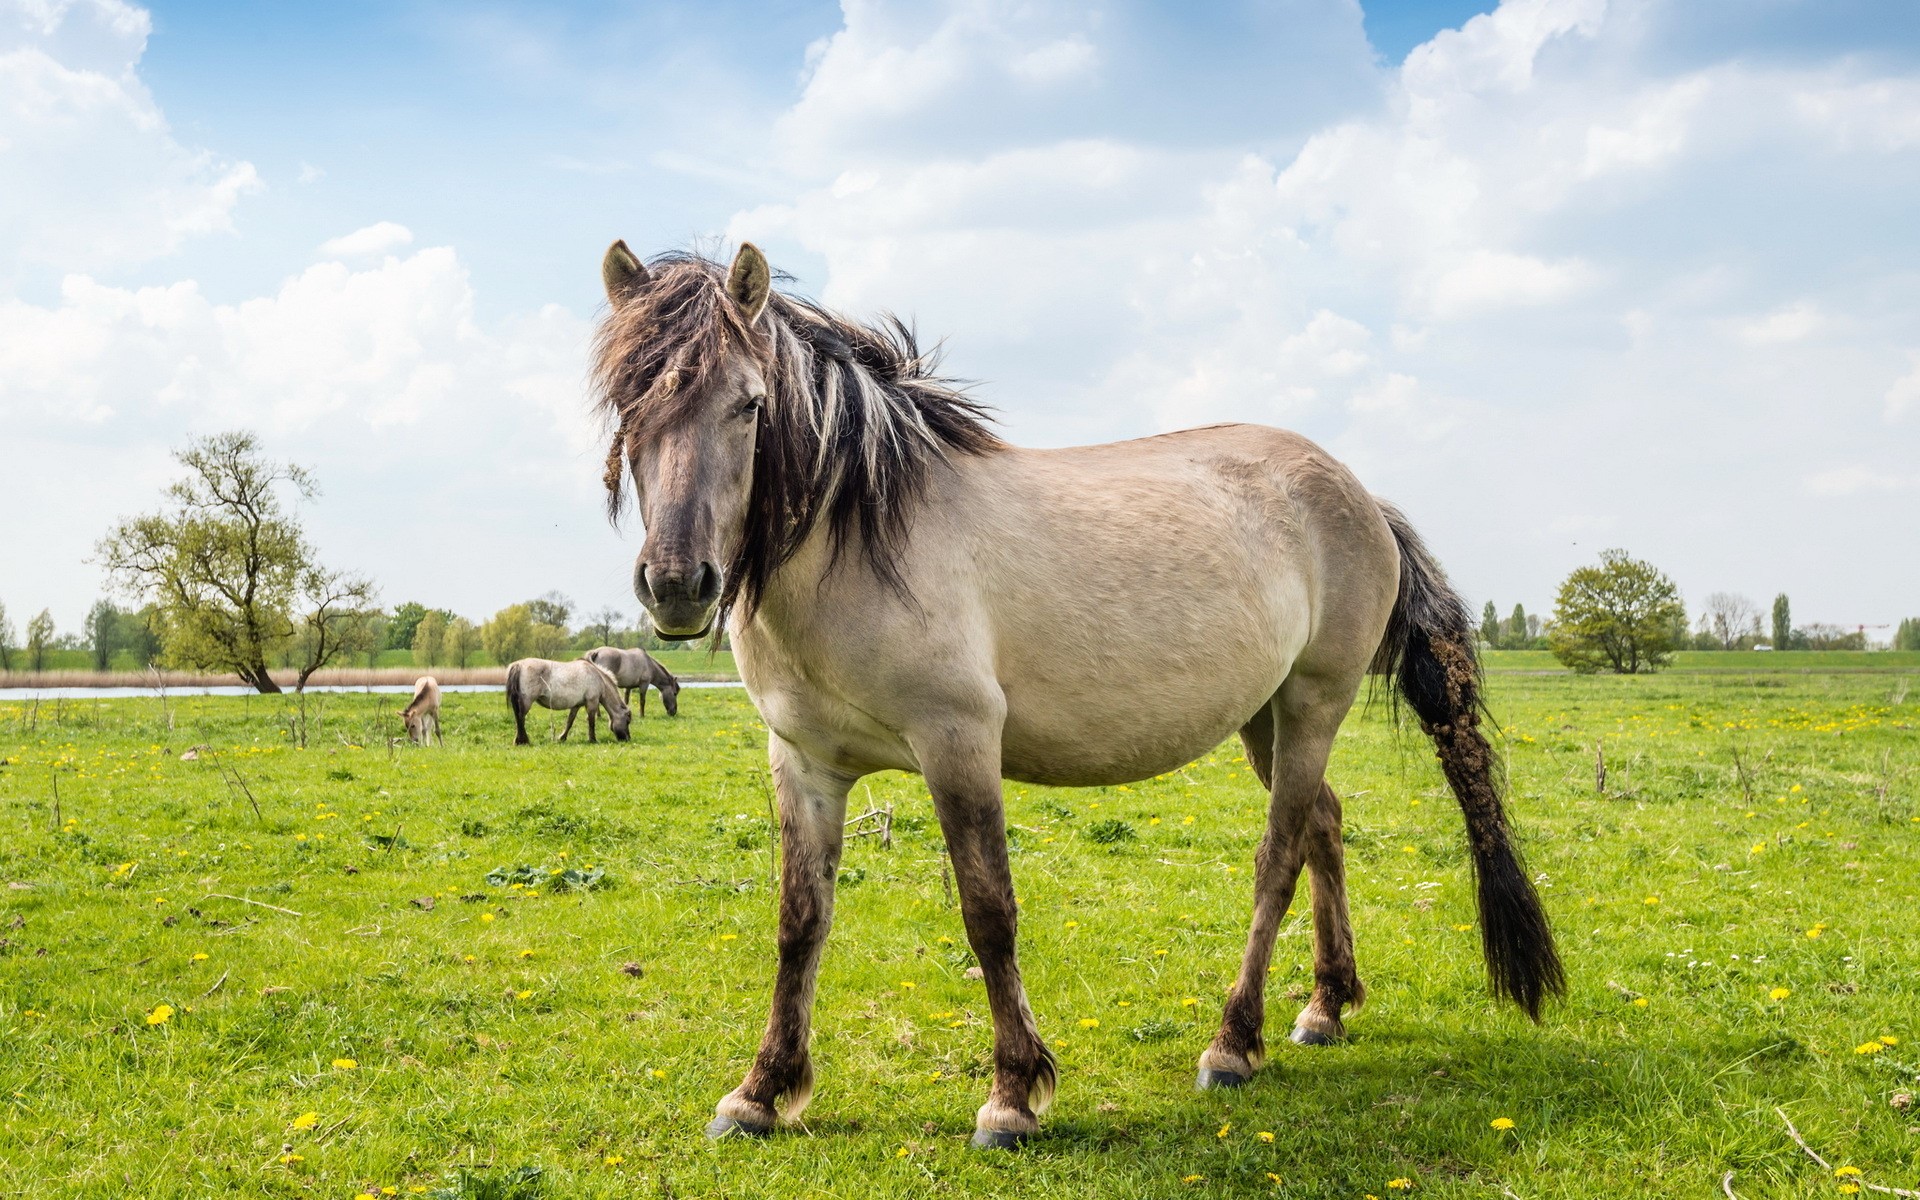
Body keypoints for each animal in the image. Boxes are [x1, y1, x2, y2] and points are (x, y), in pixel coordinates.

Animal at [590, 241, 1563, 1148]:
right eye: (628, 407)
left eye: (750, 405)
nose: (677, 584)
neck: (858, 541)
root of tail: (1359, 496)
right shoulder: (804, 762)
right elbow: (800, 920)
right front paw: (761, 1091)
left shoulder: (958, 742)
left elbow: (988, 913)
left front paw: (1014, 1096)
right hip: (1265, 716)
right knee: (1324, 825)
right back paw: (1325, 1008)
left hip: (1314, 704)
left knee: (1281, 855)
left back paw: (1232, 1044)